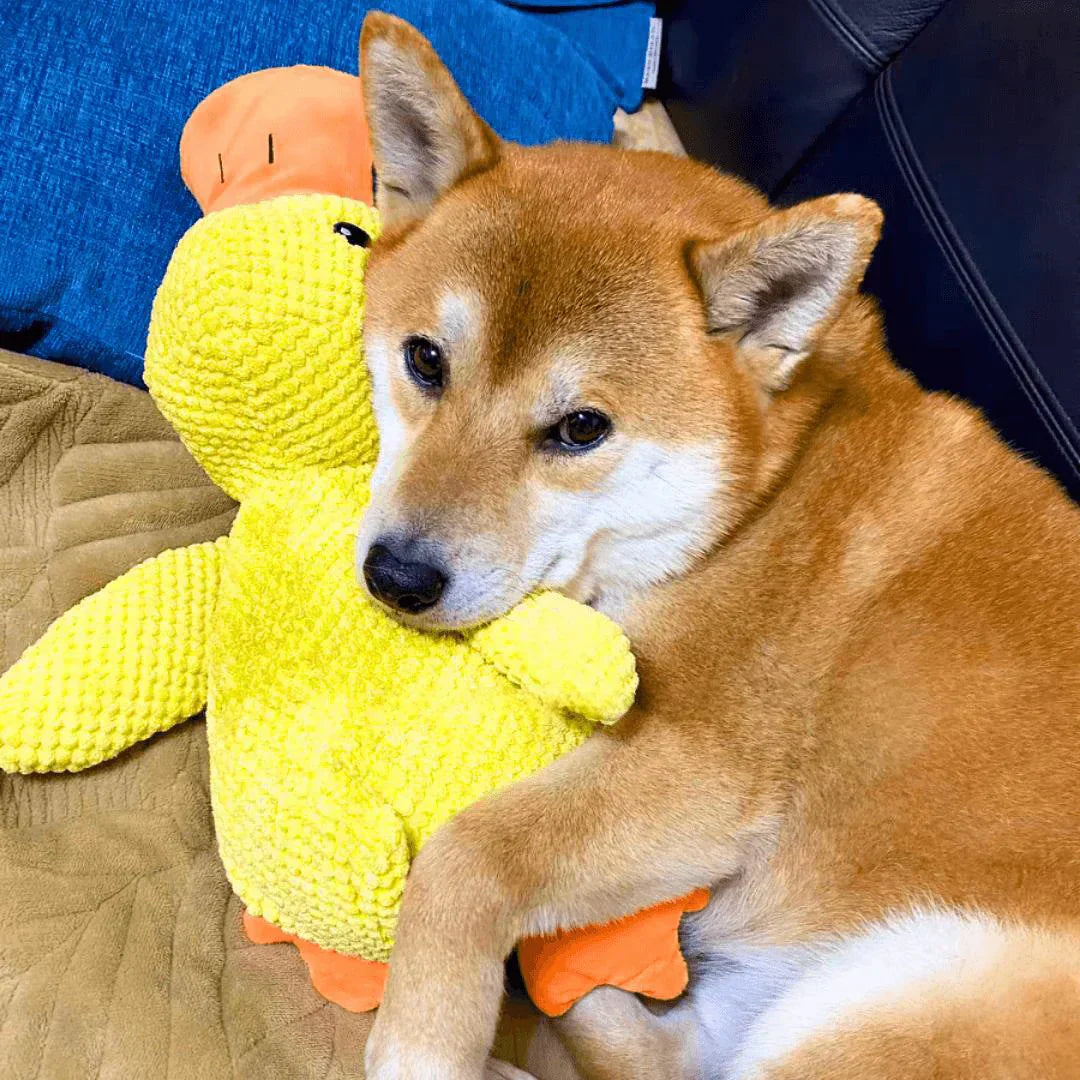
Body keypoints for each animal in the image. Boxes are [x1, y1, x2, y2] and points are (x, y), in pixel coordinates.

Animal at [354, 10, 1080, 1080]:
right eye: (425, 361)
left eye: (580, 428)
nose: (395, 576)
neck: (763, 501)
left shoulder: (707, 765)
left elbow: (467, 857)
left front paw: (423, 1044)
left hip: (913, 985)